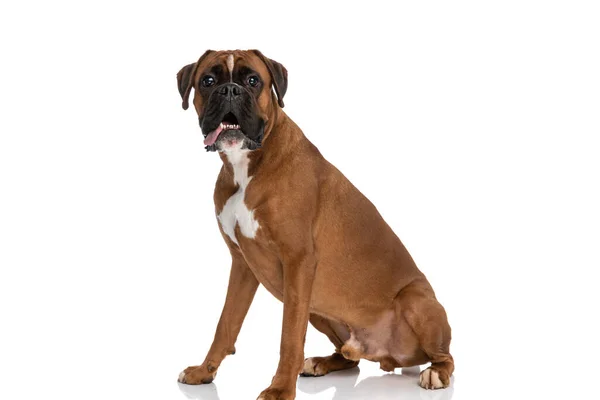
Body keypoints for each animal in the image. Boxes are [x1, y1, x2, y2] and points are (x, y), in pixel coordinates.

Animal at [176, 49, 452, 396]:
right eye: (208, 81)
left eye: (252, 80)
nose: (229, 90)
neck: (247, 165)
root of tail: (391, 358)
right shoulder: (242, 264)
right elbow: (226, 324)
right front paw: (204, 372)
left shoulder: (298, 263)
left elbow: (289, 337)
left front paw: (281, 389)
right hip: (319, 311)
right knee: (349, 357)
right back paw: (321, 363)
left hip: (415, 302)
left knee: (445, 356)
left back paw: (436, 373)